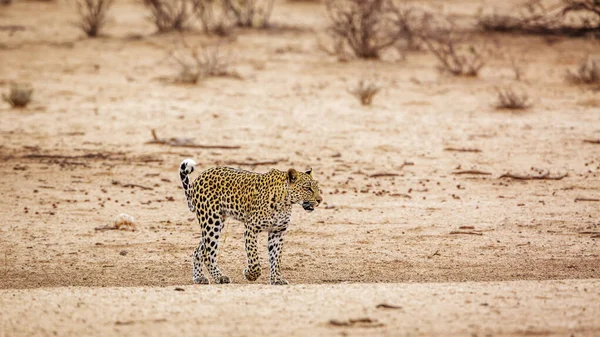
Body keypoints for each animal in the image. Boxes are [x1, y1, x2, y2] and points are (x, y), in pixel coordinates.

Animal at [179, 159, 324, 284]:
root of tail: (199, 178)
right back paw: (220, 277)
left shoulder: (278, 231)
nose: (320, 200)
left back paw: (199, 277)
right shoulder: (251, 227)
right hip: (212, 221)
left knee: (199, 251)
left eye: (317, 188)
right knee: (208, 253)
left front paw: (277, 279)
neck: (285, 202)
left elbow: (276, 258)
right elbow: (254, 257)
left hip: (216, 222)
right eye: (307, 188)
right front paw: (250, 274)